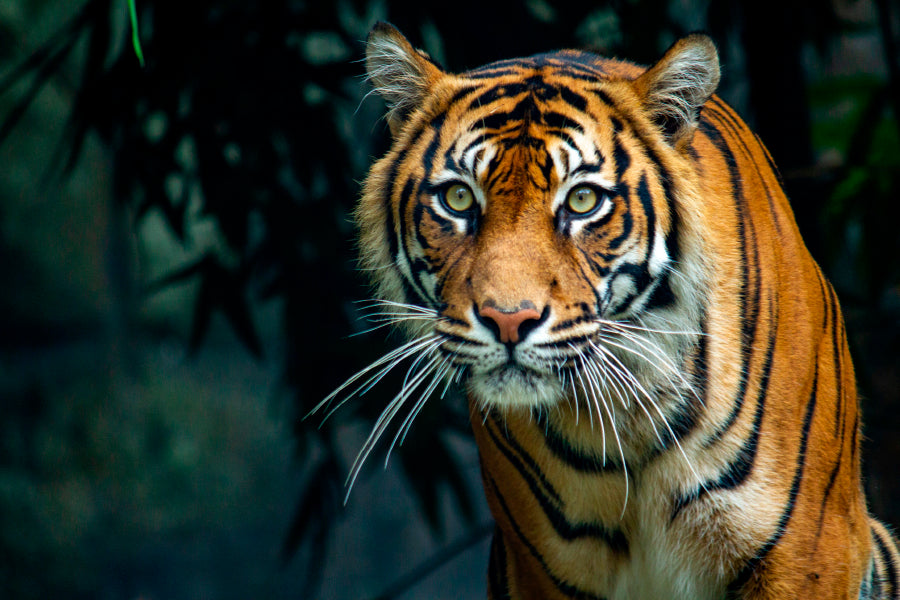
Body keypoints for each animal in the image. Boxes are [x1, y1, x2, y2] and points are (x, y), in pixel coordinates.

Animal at [330, 21, 900, 599]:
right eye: (458, 199)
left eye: (582, 201)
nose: (508, 320)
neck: (627, 421)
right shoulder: (544, 573)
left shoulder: (804, 551)